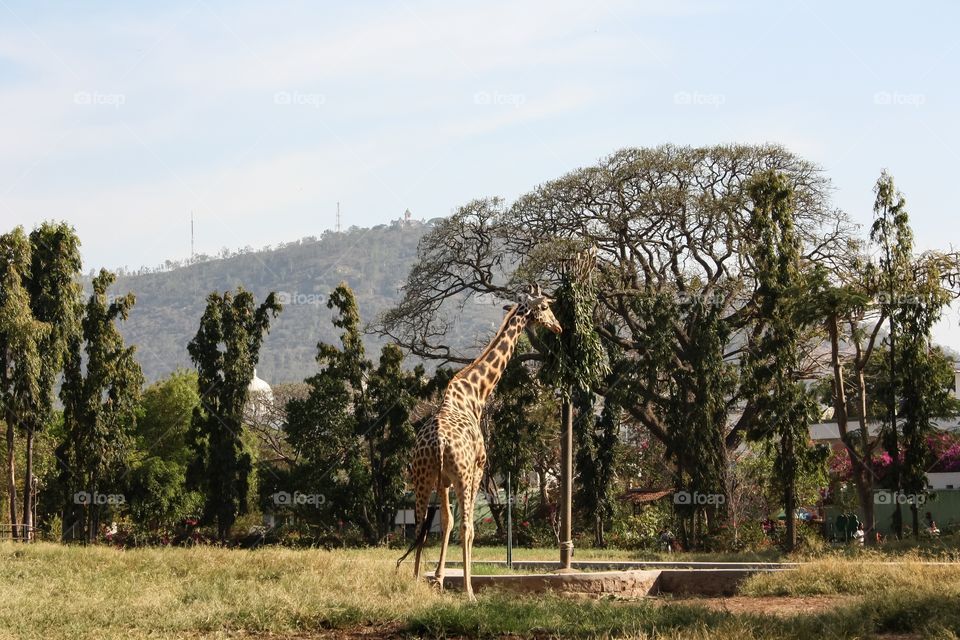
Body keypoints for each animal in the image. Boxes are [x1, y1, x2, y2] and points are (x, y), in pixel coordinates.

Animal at [397, 284, 561, 600]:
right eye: (546, 306)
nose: (558, 327)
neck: (475, 395)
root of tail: (437, 442)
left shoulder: (443, 481)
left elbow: (445, 522)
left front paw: (437, 579)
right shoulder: (477, 470)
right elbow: (465, 527)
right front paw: (461, 584)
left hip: (421, 478)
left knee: (421, 523)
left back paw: (413, 580)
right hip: (463, 476)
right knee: (465, 526)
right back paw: (470, 591)